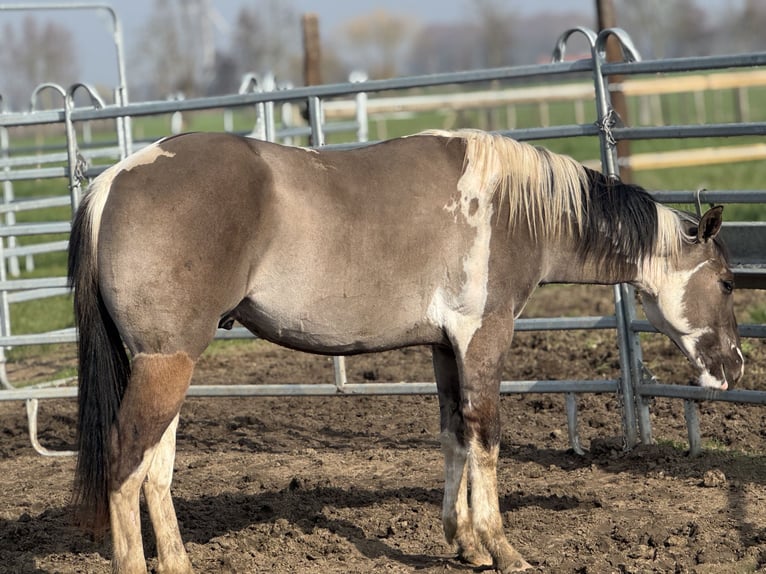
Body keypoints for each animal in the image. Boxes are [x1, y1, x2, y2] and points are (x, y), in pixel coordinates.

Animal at [68, 129, 743, 573]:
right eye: (730, 282)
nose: (734, 367)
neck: (510, 207)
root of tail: (111, 182)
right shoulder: (484, 339)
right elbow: (487, 440)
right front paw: (503, 549)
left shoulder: (446, 348)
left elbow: (454, 437)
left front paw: (464, 542)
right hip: (166, 364)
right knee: (126, 459)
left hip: (168, 364)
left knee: (155, 469)